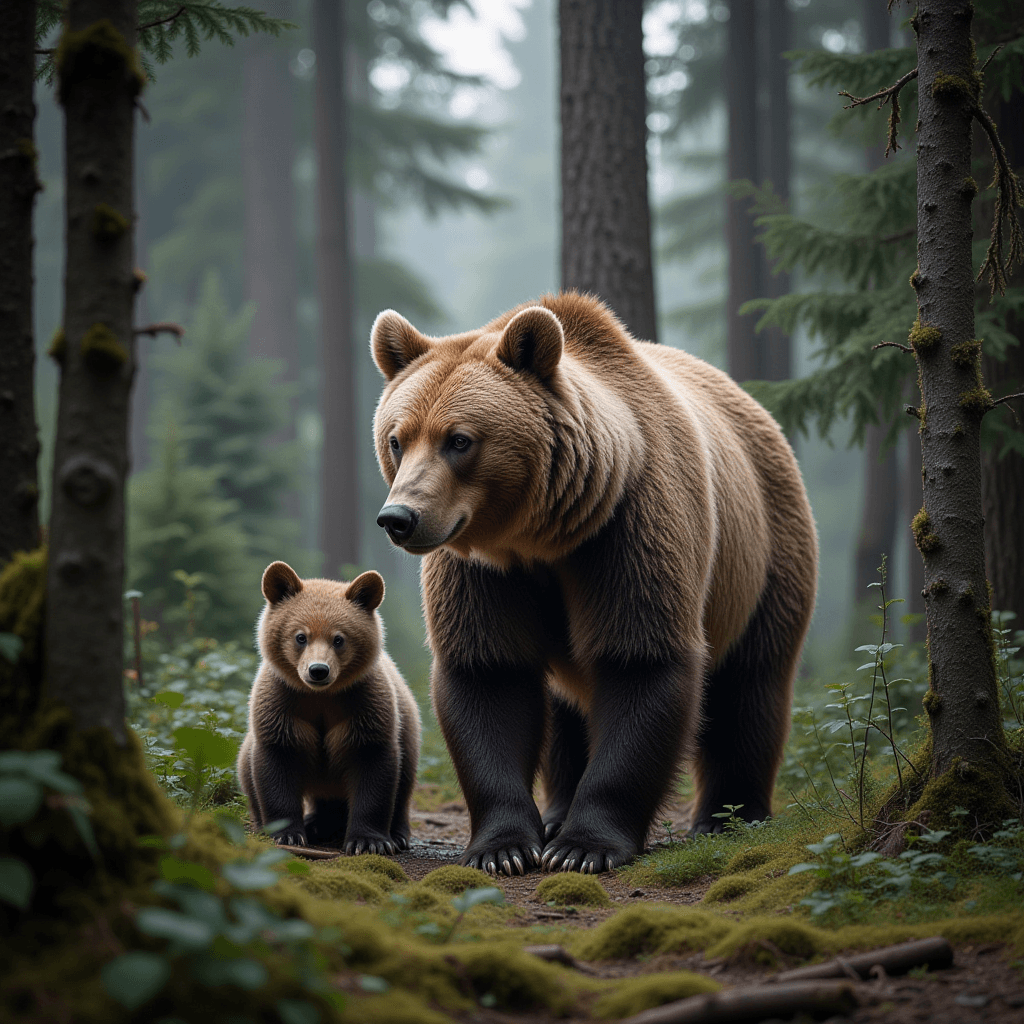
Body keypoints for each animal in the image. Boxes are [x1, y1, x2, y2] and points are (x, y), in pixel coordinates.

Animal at [237, 560, 421, 854]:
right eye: (301, 636)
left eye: (338, 639)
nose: (318, 670)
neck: (321, 697)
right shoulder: (282, 704)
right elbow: (276, 765)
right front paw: (286, 834)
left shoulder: (363, 706)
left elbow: (373, 768)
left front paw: (368, 841)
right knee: (246, 769)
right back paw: (311, 824)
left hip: (409, 728)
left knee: (404, 781)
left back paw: (398, 834)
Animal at [370, 291, 817, 875]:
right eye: (397, 439)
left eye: (459, 440)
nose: (399, 518)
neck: (542, 539)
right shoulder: (484, 573)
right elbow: (488, 674)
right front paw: (506, 848)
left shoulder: (626, 530)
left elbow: (640, 661)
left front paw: (585, 847)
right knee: (566, 708)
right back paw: (557, 810)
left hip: (764, 555)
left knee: (751, 686)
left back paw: (729, 816)